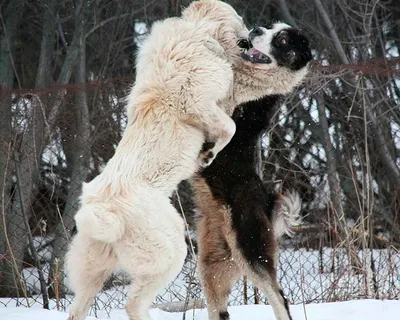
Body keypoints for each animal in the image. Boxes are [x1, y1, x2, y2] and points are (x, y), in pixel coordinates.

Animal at [191, 23, 312, 320]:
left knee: (279, 297)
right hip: (214, 263)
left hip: (250, 248)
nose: (256, 29)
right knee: (220, 309)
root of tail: (267, 204)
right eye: (271, 27)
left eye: (282, 40)